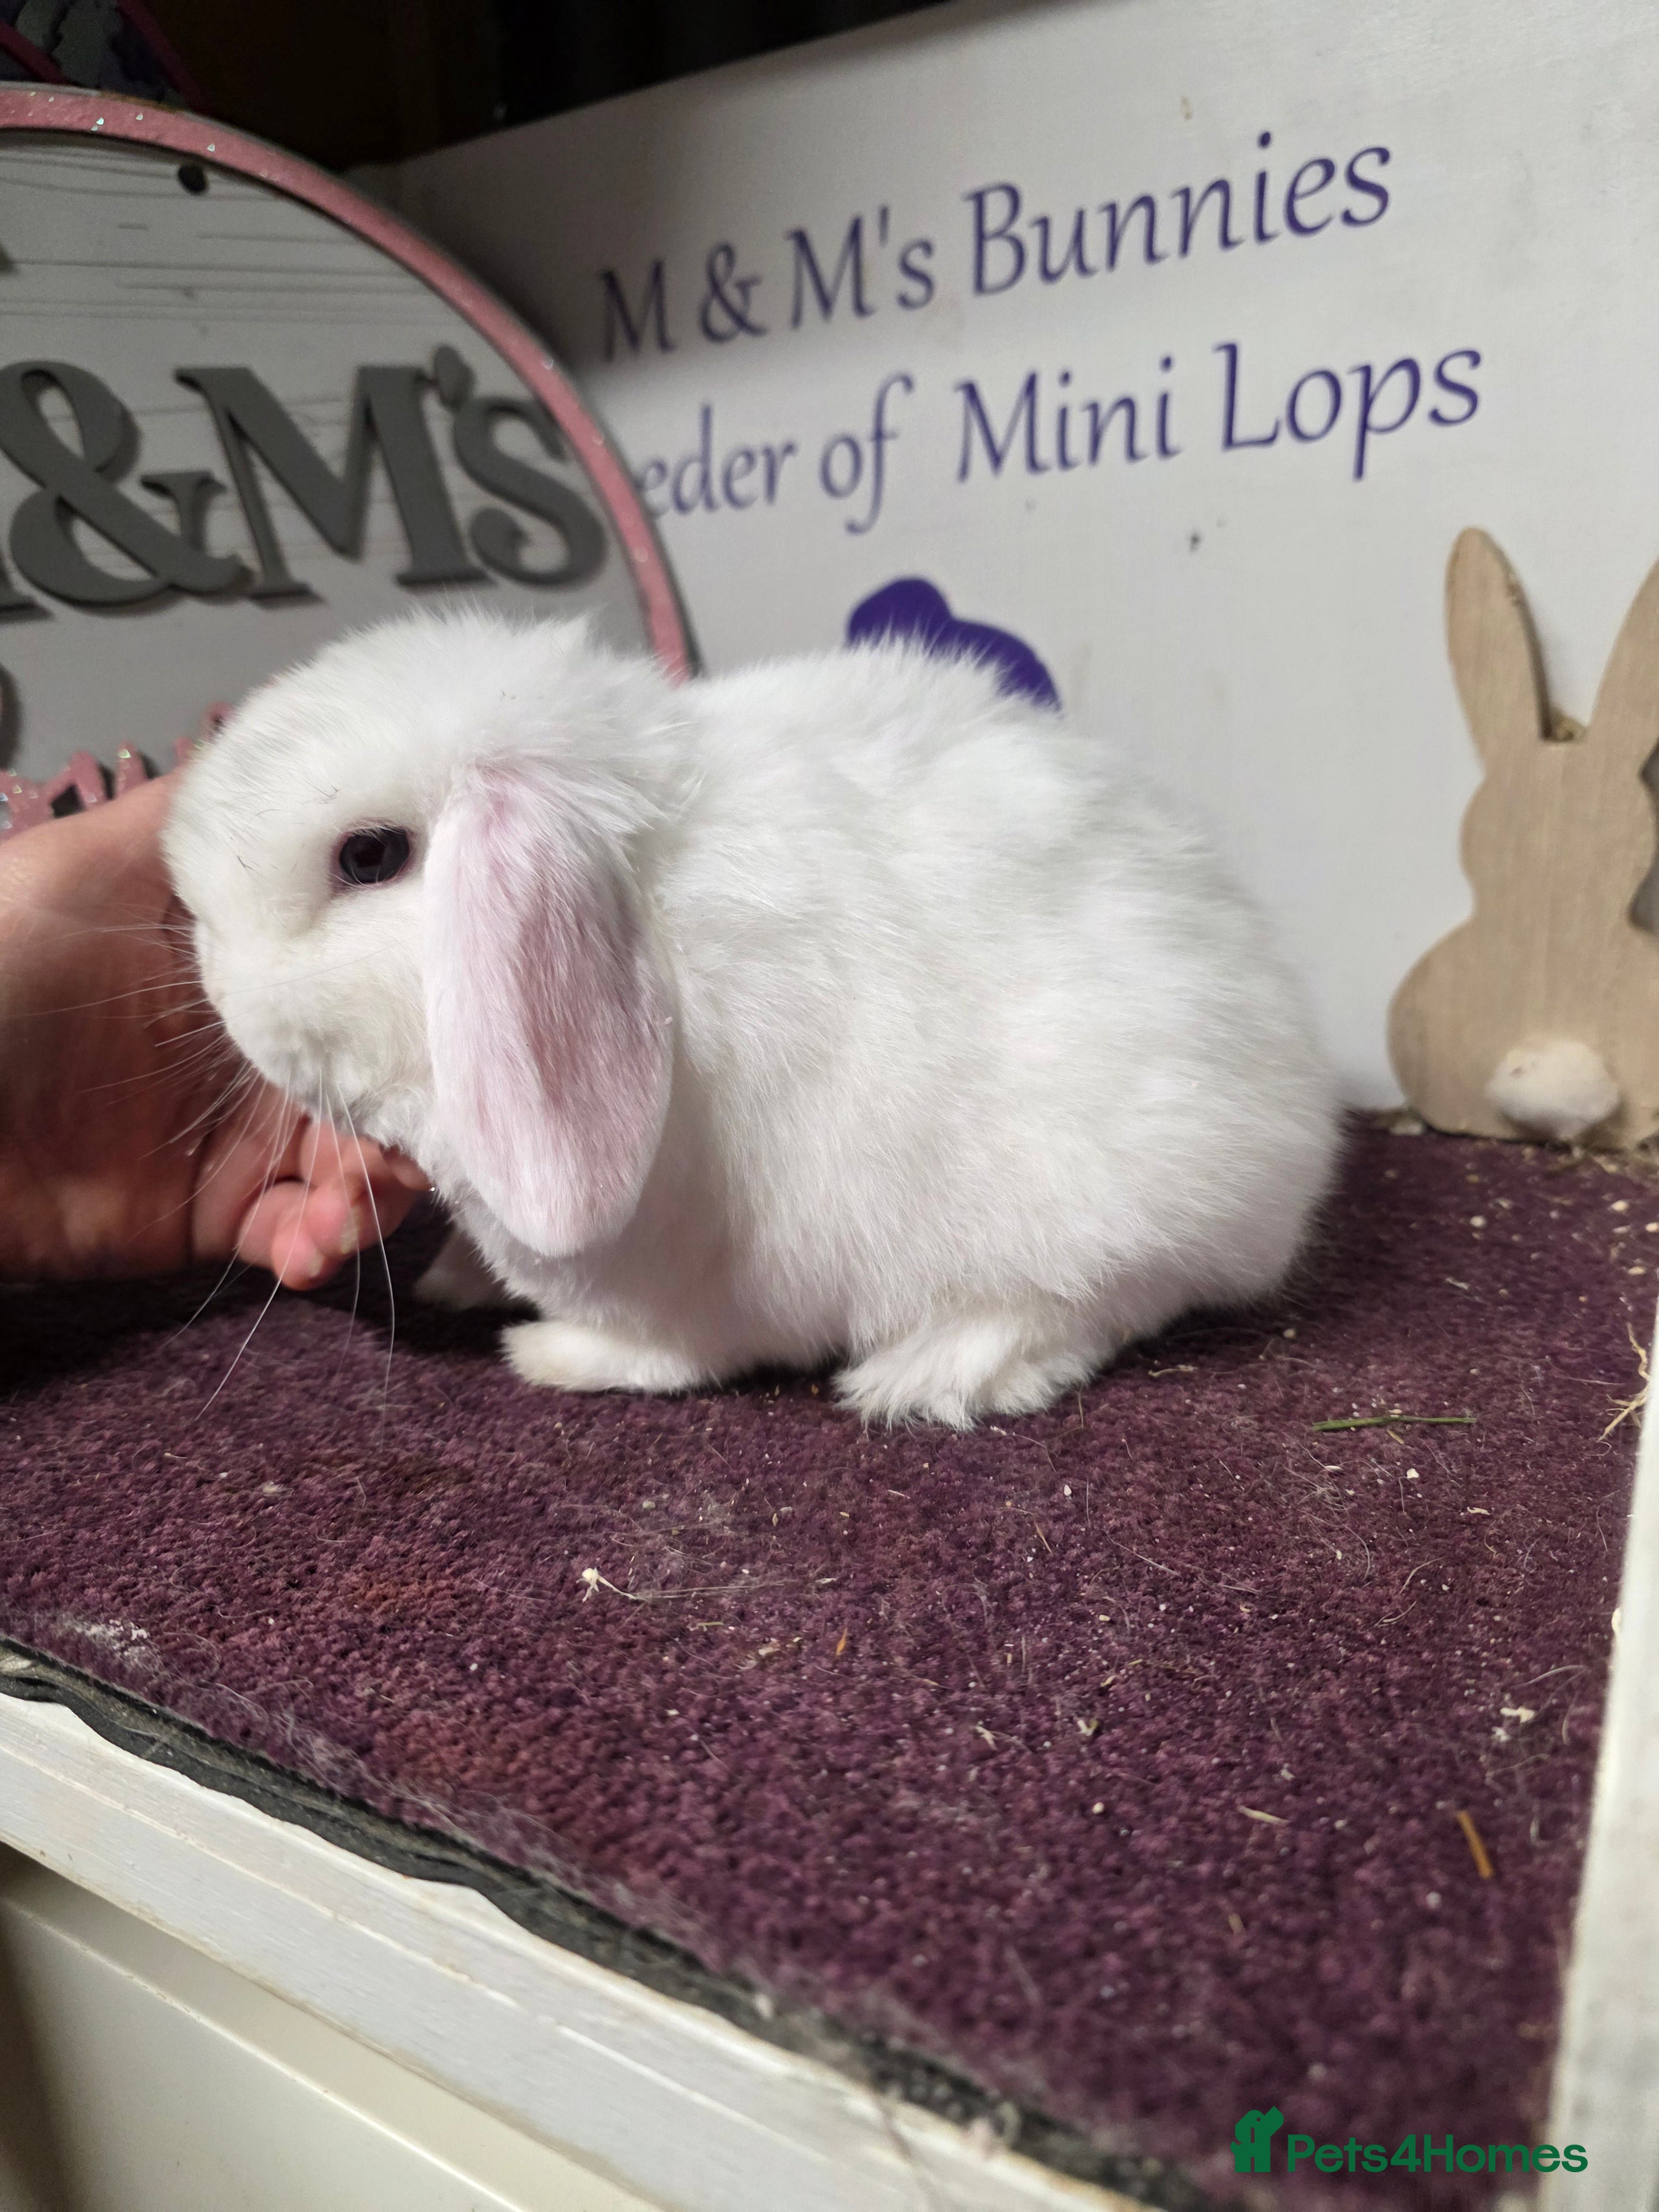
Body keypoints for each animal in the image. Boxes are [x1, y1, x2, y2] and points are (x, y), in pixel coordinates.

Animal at [162, 608, 1338, 1427]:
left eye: (369, 856)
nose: (215, 976)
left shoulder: (691, 1292)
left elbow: (666, 1357)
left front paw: (547, 1357)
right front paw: (454, 1277)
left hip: (1094, 1207)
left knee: (1089, 1306)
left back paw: (921, 1374)